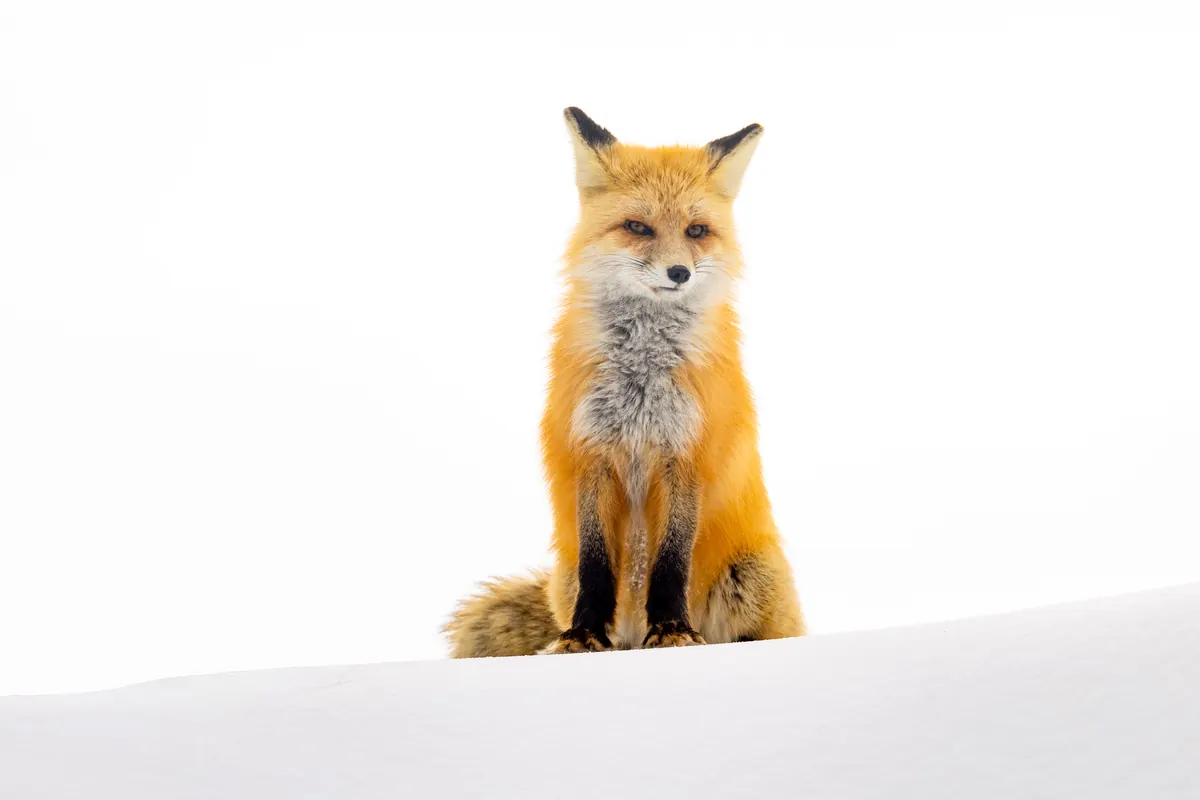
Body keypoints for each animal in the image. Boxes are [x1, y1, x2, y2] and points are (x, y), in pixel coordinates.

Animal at [444, 108, 805, 656]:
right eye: (638, 226)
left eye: (697, 230)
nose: (679, 272)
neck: (641, 377)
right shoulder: (590, 453)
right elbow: (598, 568)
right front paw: (582, 635)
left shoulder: (686, 454)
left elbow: (671, 562)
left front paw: (673, 629)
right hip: (565, 576)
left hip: (750, 576)